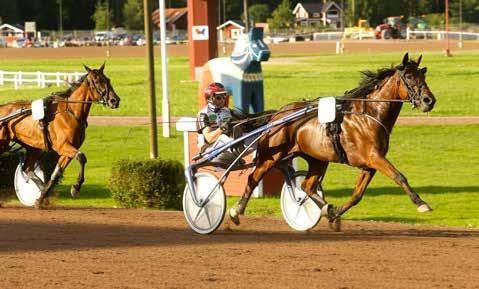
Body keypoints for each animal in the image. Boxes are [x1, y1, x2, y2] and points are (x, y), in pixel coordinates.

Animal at [0, 63, 120, 207]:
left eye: (108, 80)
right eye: (97, 81)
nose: (114, 100)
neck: (71, 112)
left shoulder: (68, 150)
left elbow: (56, 173)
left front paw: (41, 199)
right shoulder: (63, 146)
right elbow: (82, 157)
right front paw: (76, 188)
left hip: (34, 147)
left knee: (27, 169)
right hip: (2, 143)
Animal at [231, 52, 436, 230]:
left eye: (423, 74)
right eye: (408, 76)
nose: (429, 100)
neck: (370, 114)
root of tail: (277, 115)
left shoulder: (369, 165)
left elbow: (357, 195)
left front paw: (335, 213)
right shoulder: (374, 157)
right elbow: (399, 176)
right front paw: (421, 203)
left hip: (318, 159)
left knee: (307, 186)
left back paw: (325, 208)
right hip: (271, 155)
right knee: (253, 178)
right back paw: (236, 211)